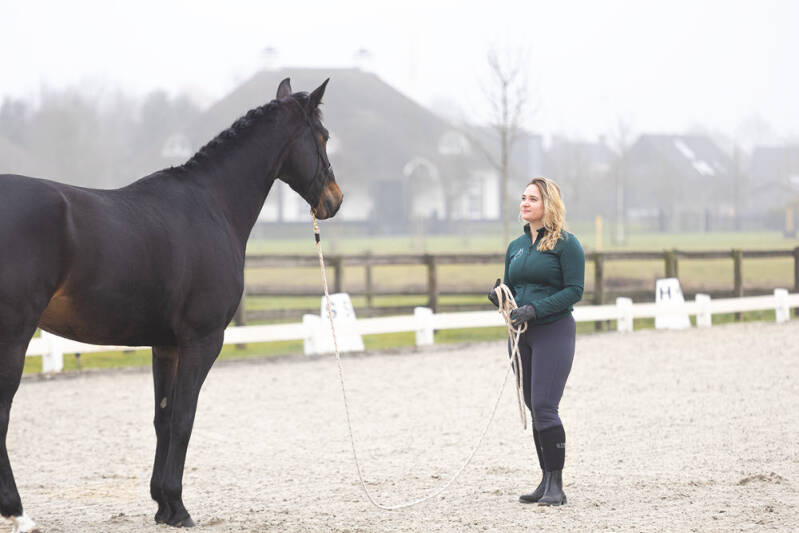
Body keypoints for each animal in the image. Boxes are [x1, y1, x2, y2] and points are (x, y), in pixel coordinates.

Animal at [0, 78, 342, 531]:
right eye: (323, 136)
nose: (335, 200)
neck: (212, 204)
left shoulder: (166, 346)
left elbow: (162, 418)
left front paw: (162, 504)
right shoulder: (202, 341)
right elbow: (183, 419)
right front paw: (179, 507)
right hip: (14, 335)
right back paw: (17, 511)